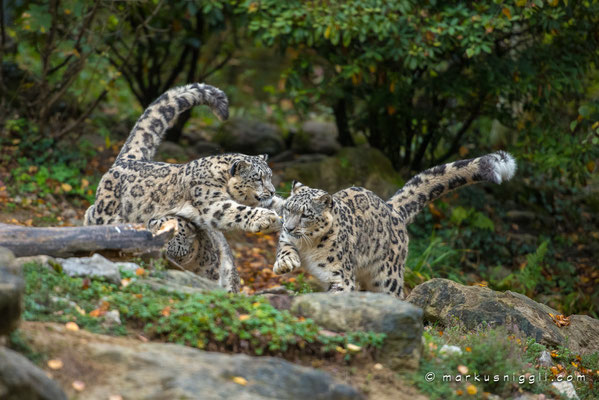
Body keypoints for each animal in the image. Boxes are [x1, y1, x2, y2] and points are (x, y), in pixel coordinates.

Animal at [84, 83, 284, 290]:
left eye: (269, 176)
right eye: (258, 178)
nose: (272, 190)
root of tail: (127, 159)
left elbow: (278, 204)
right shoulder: (211, 202)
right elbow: (237, 211)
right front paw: (267, 219)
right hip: (105, 212)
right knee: (92, 214)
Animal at [274, 152, 516, 298]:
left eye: (306, 215)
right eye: (288, 208)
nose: (289, 227)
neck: (308, 246)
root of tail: (391, 208)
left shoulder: (339, 275)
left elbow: (339, 292)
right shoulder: (287, 239)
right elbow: (284, 246)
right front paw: (285, 263)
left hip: (387, 277)